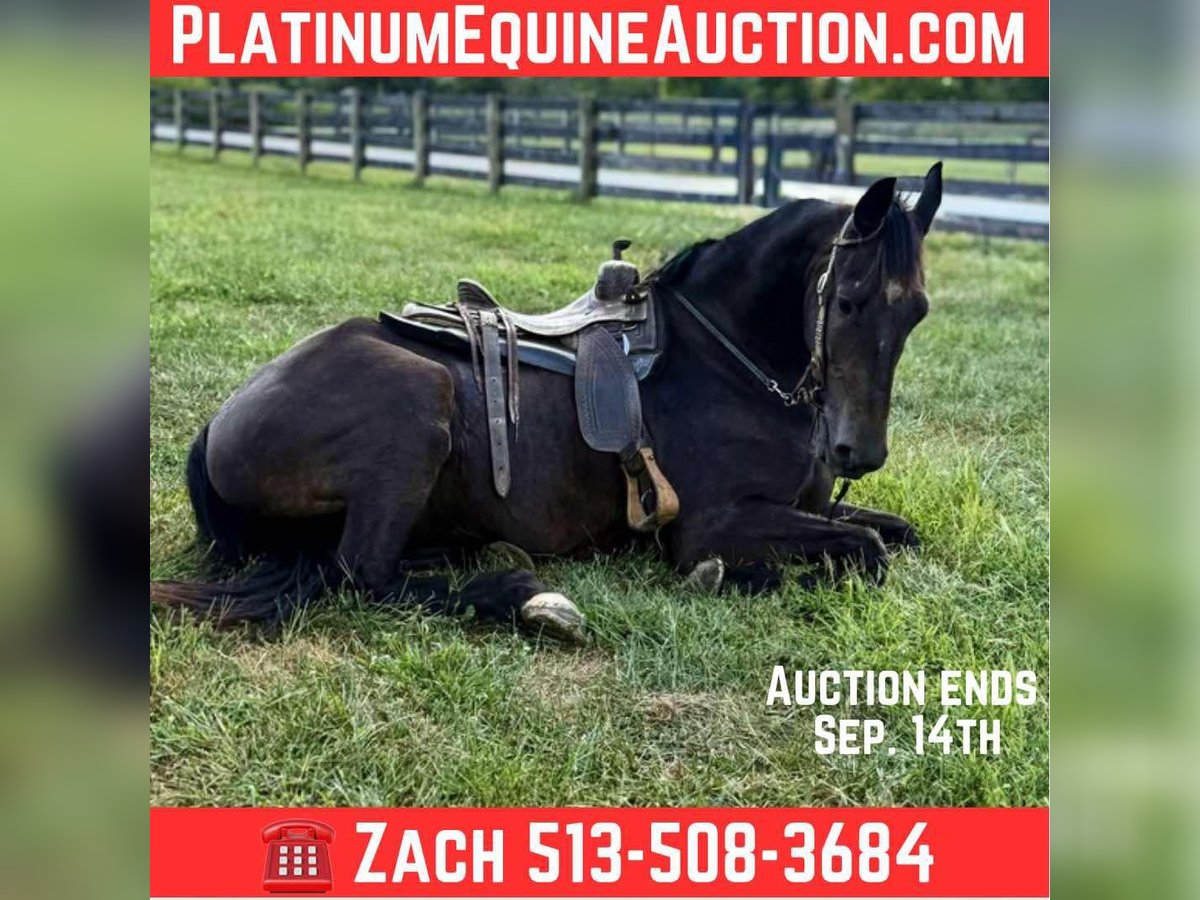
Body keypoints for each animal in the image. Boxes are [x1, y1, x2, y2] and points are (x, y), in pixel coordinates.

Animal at [151, 164, 943, 643]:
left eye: (918, 313)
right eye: (849, 300)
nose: (858, 451)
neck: (728, 358)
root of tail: (216, 425)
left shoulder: (811, 504)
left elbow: (894, 532)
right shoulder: (712, 524)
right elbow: (864, 552)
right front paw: (742, 574)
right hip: (417, 403)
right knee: (361, 579)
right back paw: (522, 597)